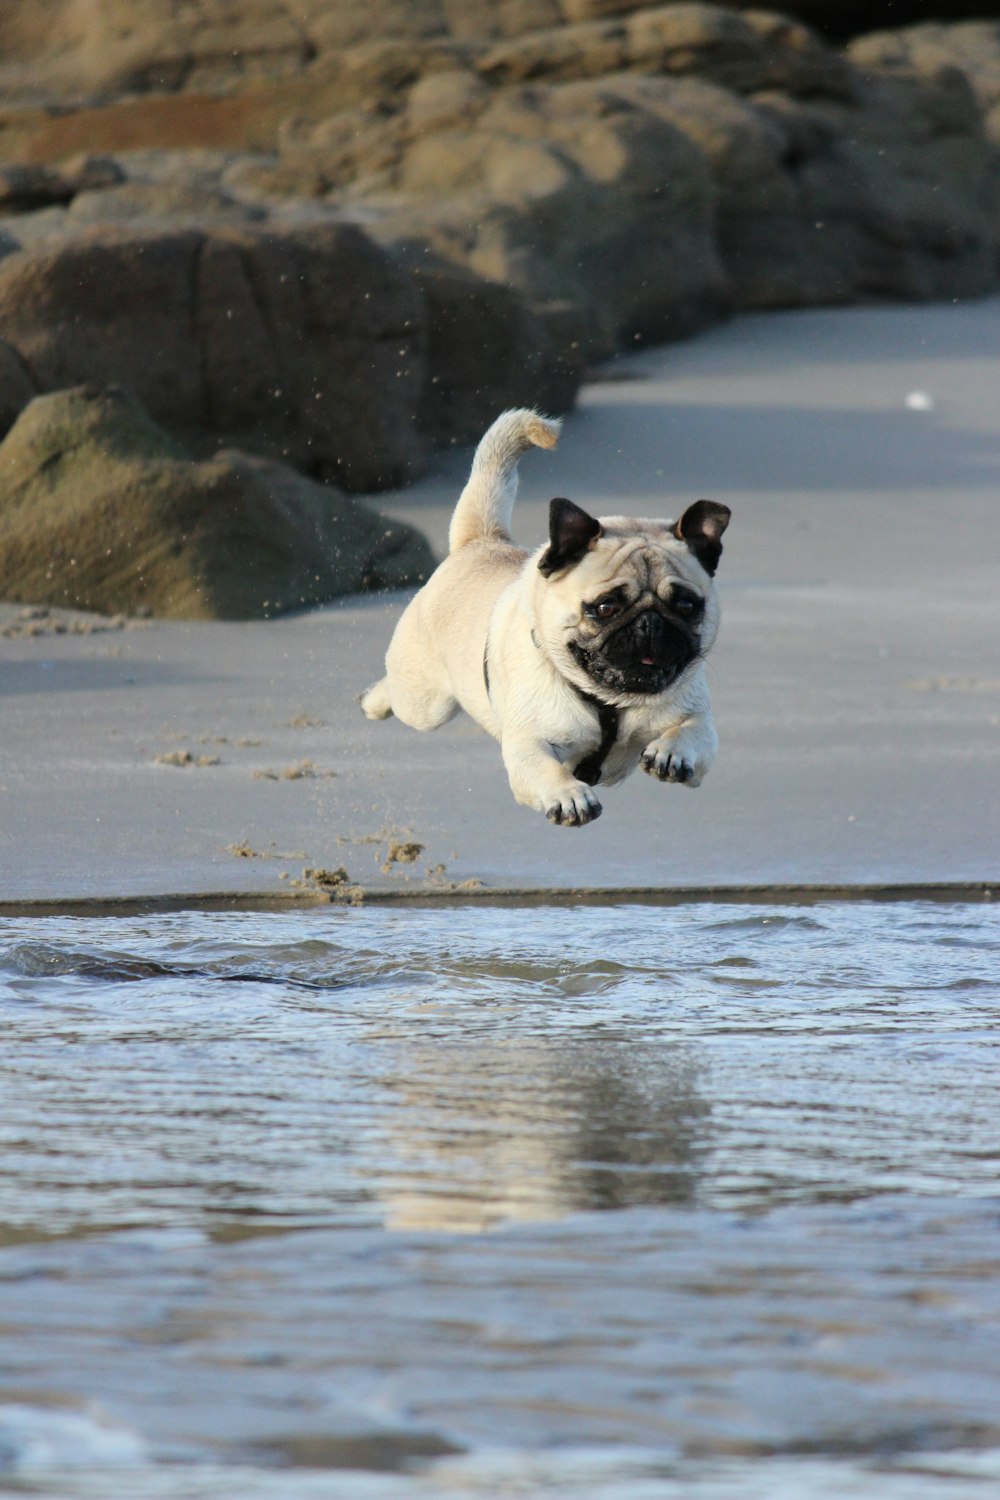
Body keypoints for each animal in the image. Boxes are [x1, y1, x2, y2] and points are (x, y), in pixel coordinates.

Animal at [359, 408, 728, 822]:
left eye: (686, 606)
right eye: (605, 608)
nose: (650, 622)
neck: (609, 703)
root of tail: (482, 540)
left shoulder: (698, 721)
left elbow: (691, 731)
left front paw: (671, 752)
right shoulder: (528, 747)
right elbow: (547, 769)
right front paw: (569, 795)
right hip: (426, 702)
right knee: (400, 694)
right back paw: (373, 701)